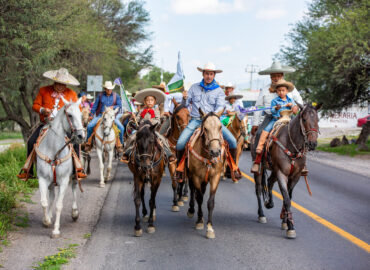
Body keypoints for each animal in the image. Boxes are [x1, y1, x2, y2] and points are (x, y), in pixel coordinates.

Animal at [35, 97, 85, 238]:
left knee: (74, 188)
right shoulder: (42, 179)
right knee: (51, 195)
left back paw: (74, 212)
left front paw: (56, 230)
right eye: (70, 115)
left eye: (81, 115)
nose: (81, 136)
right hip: (51, 181)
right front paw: (46, 220)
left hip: (74, 176)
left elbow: (59, 205)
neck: (54, 150)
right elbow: (44, 202)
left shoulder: (63, 181)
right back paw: (49, 215)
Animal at [186, 109, 224, 238]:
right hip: (190, 176)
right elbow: (199, 198)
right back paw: (192, 210)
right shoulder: (196, 177)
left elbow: (210, 202)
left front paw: (210, 228)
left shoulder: (215, 177)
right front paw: (199, 221)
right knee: (193, 191)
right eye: (206, 128)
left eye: (220, 127)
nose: (215, 151)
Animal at [253, 103, 320, 238]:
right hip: (260, 170)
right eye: (304, 119)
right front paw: (291, 227)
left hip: (274, 170)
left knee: (269, 181)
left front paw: (285, 222)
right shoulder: (282, 173)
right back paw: (261, 214)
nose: (312, 143)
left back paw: (269, 203)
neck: (291, 145)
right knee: (258, 189)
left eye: (318, 120)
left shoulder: (295, 176)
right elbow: (287, 199)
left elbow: (287, 197)